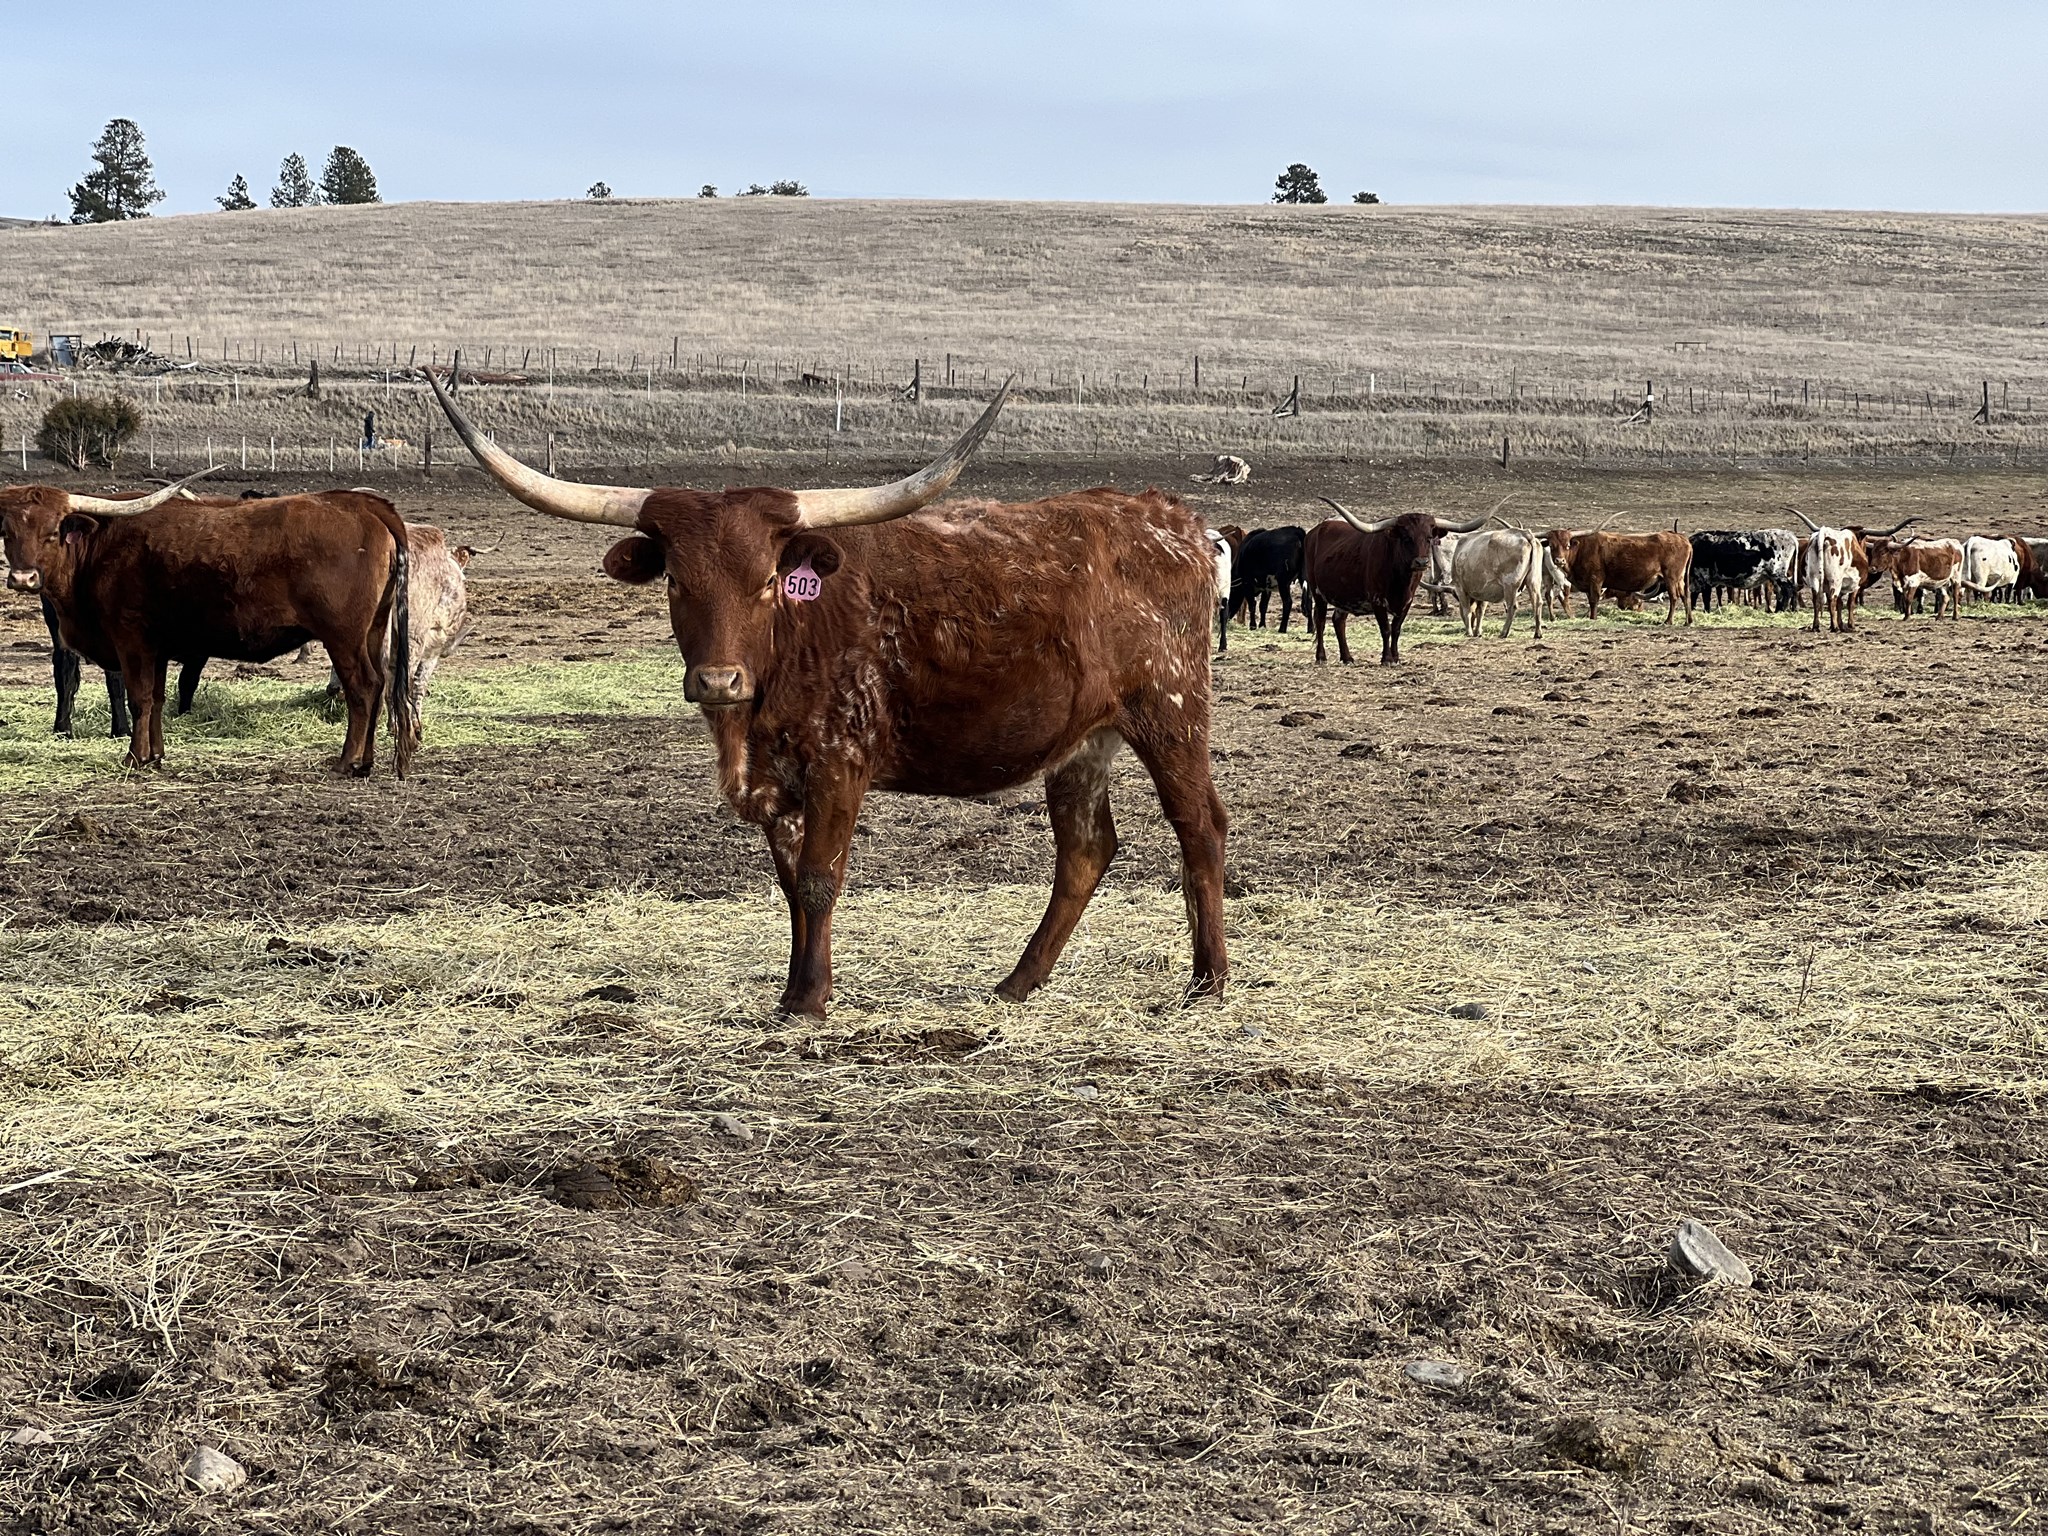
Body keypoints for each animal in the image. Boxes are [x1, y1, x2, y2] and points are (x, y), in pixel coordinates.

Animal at [0, 482, 416, 775]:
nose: (23, 578)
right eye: (7, 532)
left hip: (343, 637)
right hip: (373, 630)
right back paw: (367, 761)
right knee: (379, 685)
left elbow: (139, 699)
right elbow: (156, 700)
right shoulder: (156, 648)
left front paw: (134, 758)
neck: (101, 546)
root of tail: (363, 505)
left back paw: (348, 761)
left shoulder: (131, 641)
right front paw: (155, 756)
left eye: (53, 531)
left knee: (362, 688)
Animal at [423, 370, 1227, 1019]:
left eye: (768, 581)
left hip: (1170, 710)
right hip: (1085, 740)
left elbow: (818, 878)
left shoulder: (842, 762)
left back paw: (1207, 982)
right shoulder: (777, 784)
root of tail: (1171, 518)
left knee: (1199, 826)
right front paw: (793, 988)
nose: (719, 680)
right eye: (677, 581)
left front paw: (809, 1001)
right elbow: (789, 887)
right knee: (1085, 848)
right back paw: (1018, 983)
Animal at [1304, 500, 1488, 665]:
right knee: (1320, 621)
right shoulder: (1377, 600)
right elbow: (1385, 629)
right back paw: (1321, 657)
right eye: (1406, 538)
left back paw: (1347, 658)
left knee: (1338, 620)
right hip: (1318, 592)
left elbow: (1396, 629)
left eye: (1429, 538)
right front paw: (1386, 659)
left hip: (1344, 596)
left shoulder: (1407, 602)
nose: (1421, 562)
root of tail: (1315, 531)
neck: (1400, 579)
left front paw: (1396, 657)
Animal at [1548, 526, 1694, 624]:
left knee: (1674, 597)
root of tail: (1682, 539)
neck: (1581, 549)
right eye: (1551, 545)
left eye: (1567, 545)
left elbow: (1594, 601)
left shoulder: (1595, 581)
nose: (1559, 560)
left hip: (1671, 578)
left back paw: (1668, 621)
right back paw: (1688, 621)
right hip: (1680, 579)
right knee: (1685, 595)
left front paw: (1593, 618)